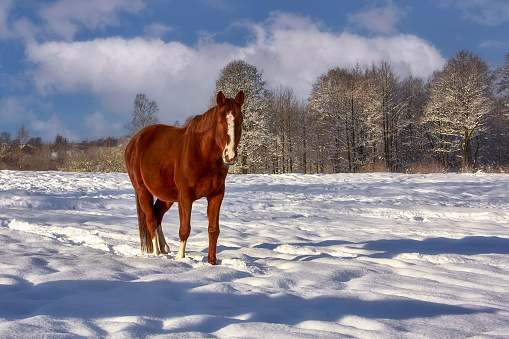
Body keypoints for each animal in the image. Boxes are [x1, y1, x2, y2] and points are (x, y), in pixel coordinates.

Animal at [124, 91, 244, 266]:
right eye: (220, 121)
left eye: (240, 120)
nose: (230, 155)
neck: (202, 152)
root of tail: (134, 141)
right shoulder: (185, 196)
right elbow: (184, 229)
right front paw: (181, 259)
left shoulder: (216, 195)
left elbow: (213, 229)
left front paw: (212, 263)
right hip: (142, 191)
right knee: (151, 220)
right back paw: (156, 253)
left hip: (167, 196)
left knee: (157, 214)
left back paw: (165, 248)